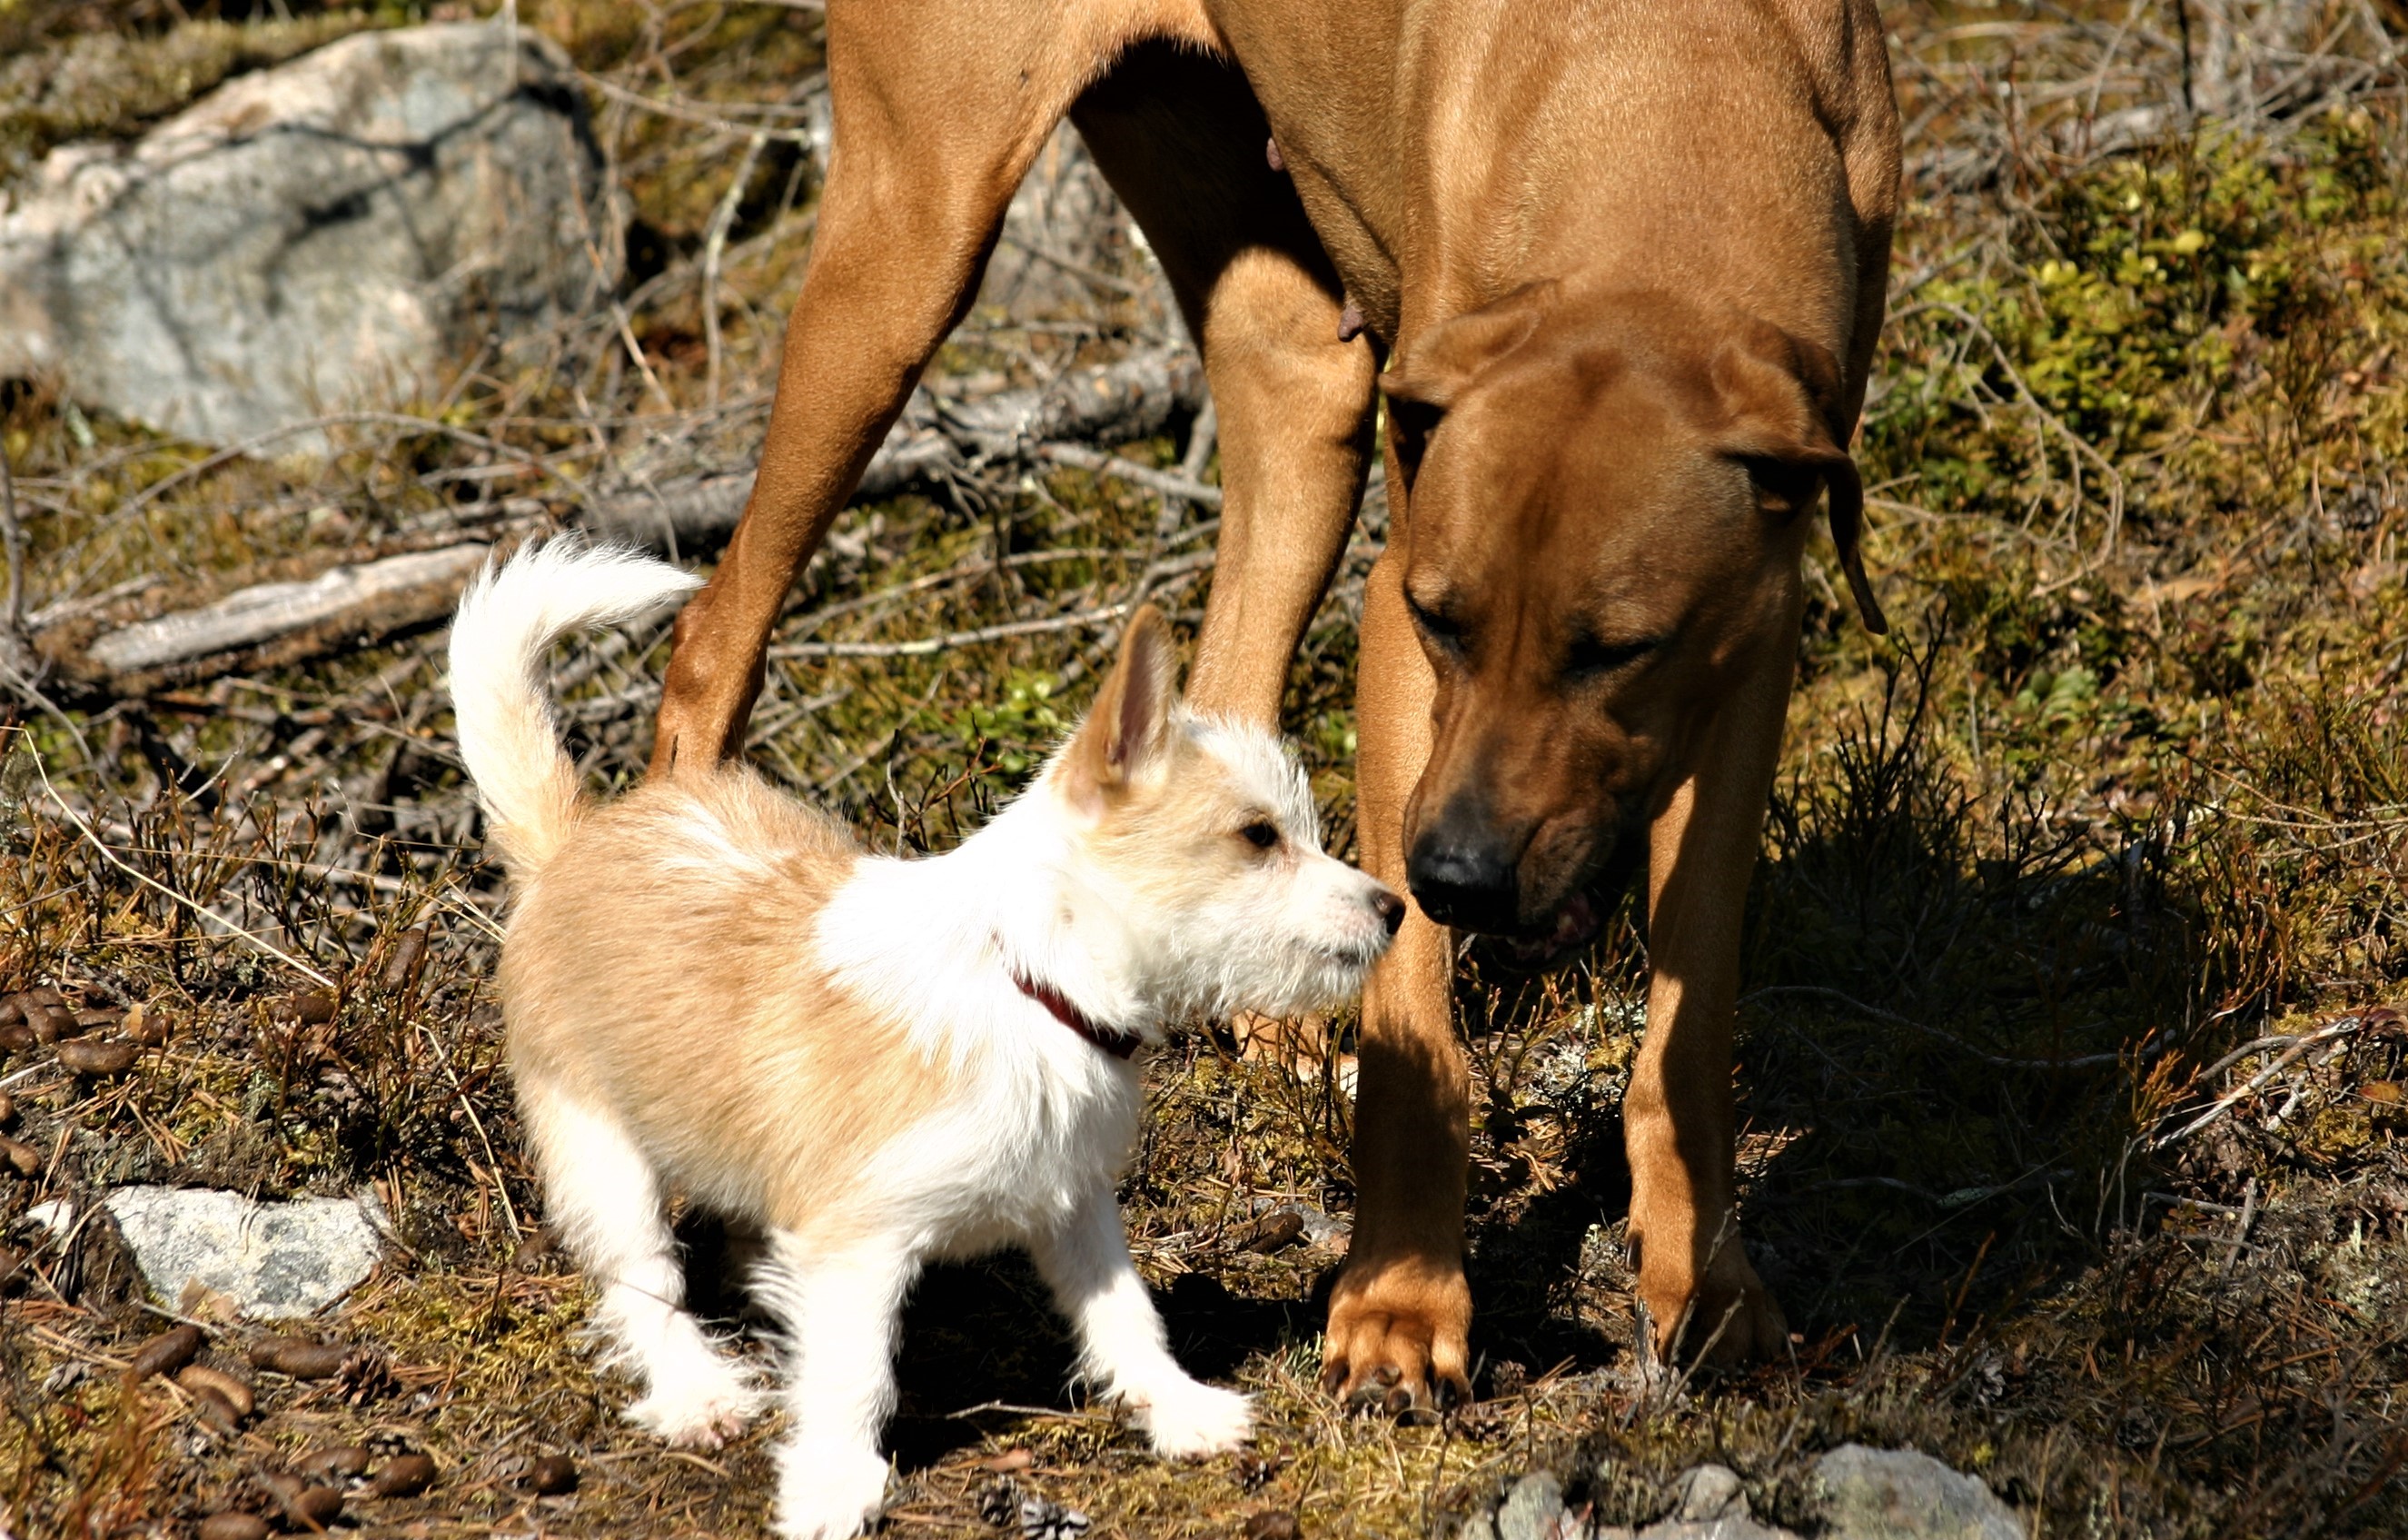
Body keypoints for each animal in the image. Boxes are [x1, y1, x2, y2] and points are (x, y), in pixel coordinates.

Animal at [442, 541, 1406, 1540]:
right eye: (1257, 836)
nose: (1396, 909)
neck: (1030, 985)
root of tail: (572, 841)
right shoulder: (857, 1245)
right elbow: (854, 1372)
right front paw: (832, 1482)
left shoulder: (1075, 1207)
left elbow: (1126, 1315)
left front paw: (1173, 1405)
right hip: (598, 1150)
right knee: (644, 1282)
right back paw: (694, 1392)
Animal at [655, 0, 1897, 1407]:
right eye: (1444, 621)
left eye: (1617, 649)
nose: (1460, 878)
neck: (1660, 105)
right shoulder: (1403, 632)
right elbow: (1416, 1042)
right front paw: (1399, 1308)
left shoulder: (1748, 642)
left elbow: (1686, 1032)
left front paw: (1711, 1290)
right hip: (905, 249)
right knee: (712, 639)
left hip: (1292, 350)